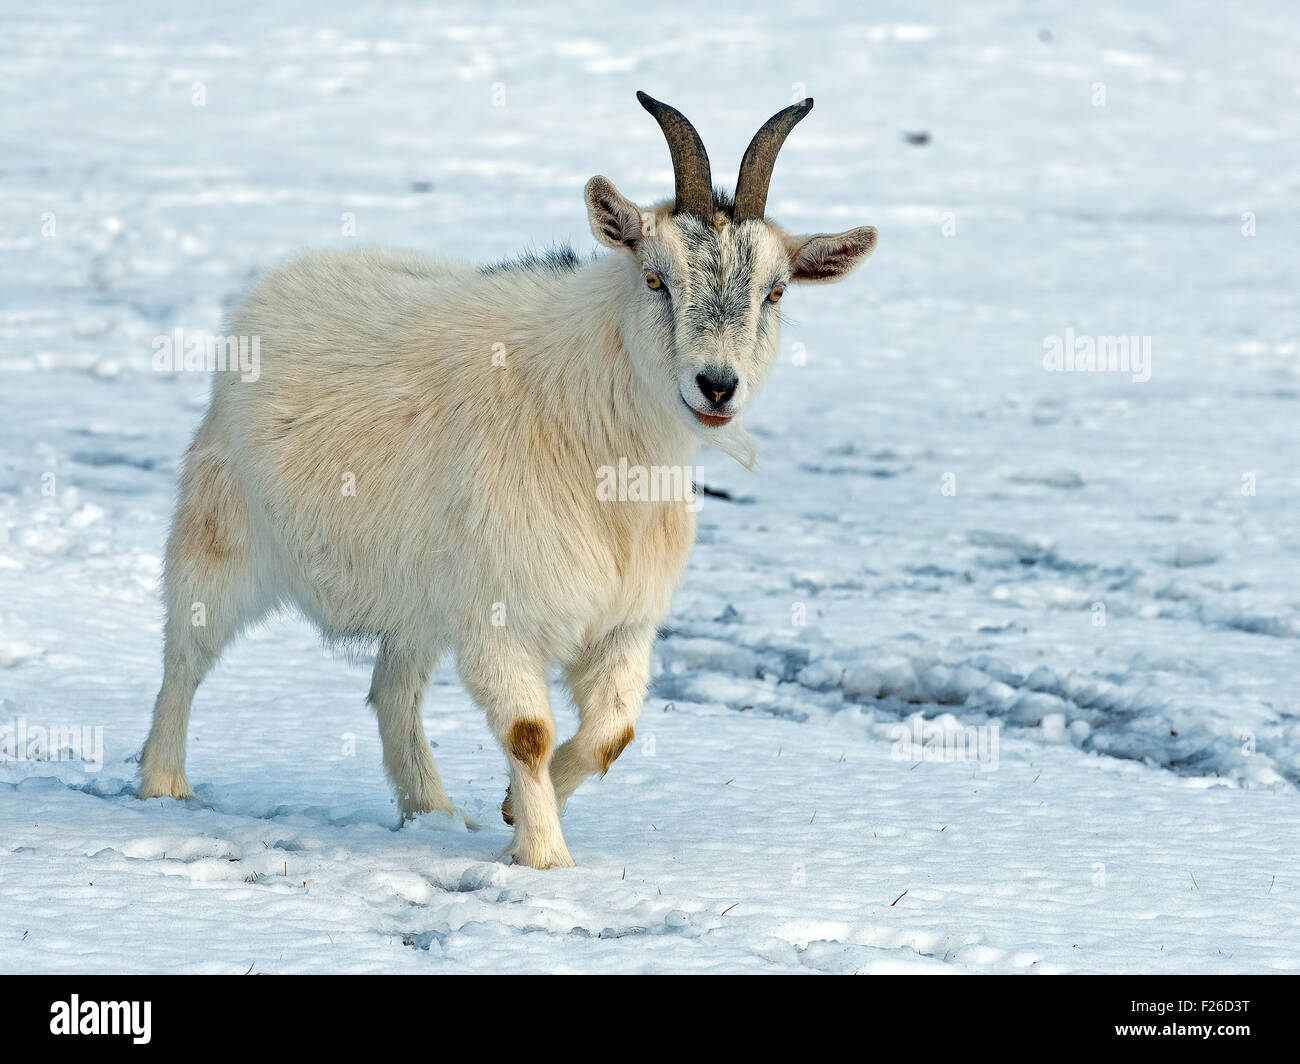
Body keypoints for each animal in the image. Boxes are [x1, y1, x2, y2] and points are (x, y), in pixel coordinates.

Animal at [139, 95, 873, 868]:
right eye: (655, 278)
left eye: (775, 291)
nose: (717, 386)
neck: (598, 436)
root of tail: (282, 279)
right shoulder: (502, 614)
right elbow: (529, 732)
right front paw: (546, 859)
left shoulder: (623, 620)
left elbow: (612, 734)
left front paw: (513, 810)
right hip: (219, 532)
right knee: (184, 655)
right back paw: (163, 786)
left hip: (422, 599)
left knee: (393, 690)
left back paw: (432, 811)